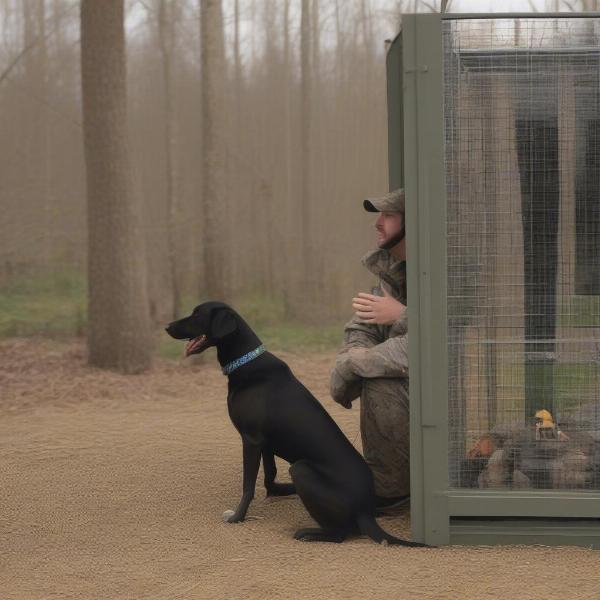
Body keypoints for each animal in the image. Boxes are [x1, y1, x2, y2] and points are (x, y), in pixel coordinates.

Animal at [165, 302, 426, 548]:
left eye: (197, 315)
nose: (167, 327)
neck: (246, 363)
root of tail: (365, 511)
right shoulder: (265, 443)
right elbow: (269, 477)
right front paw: (278, 491)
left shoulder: (250, 440)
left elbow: (248, 485)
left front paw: (237, 517)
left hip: (301, 469)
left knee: (340, 534)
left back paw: (309, 533)